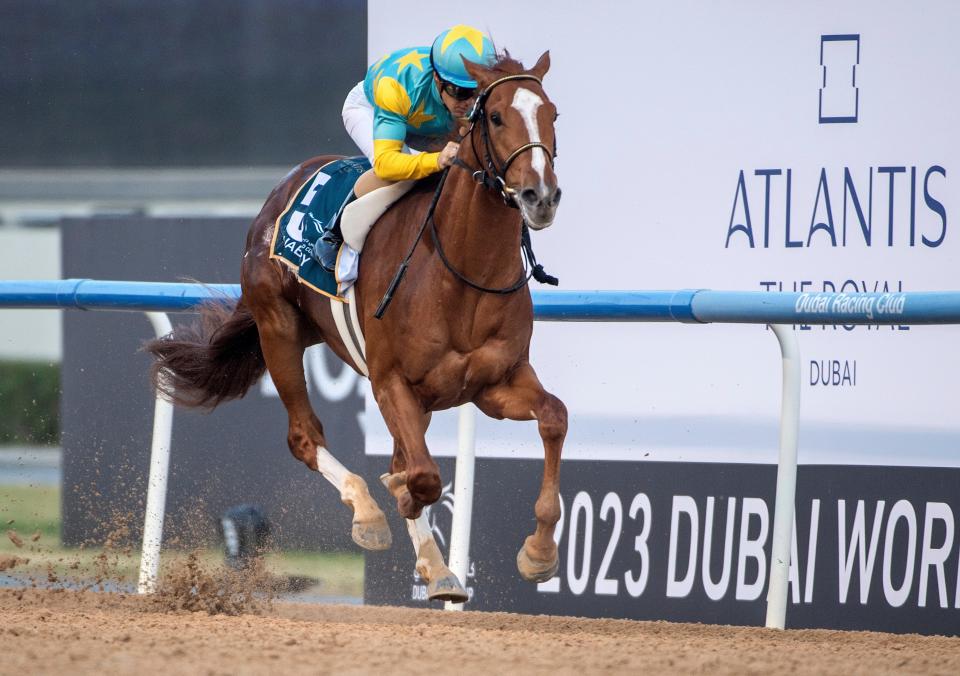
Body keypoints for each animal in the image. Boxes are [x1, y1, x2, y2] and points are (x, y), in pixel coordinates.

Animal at [147, 54, 568, 604]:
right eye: (495, 117)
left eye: (553, 114)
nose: (541, 196)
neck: (462, 271)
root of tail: (284, 188)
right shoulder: (390, 381)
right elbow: (422, 477)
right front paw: (395, 503)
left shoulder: (493, 384)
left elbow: (553, 418)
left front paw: (539, 553)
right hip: (278, 328)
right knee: (304, 437)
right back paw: (369, 513)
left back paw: (438, 568)